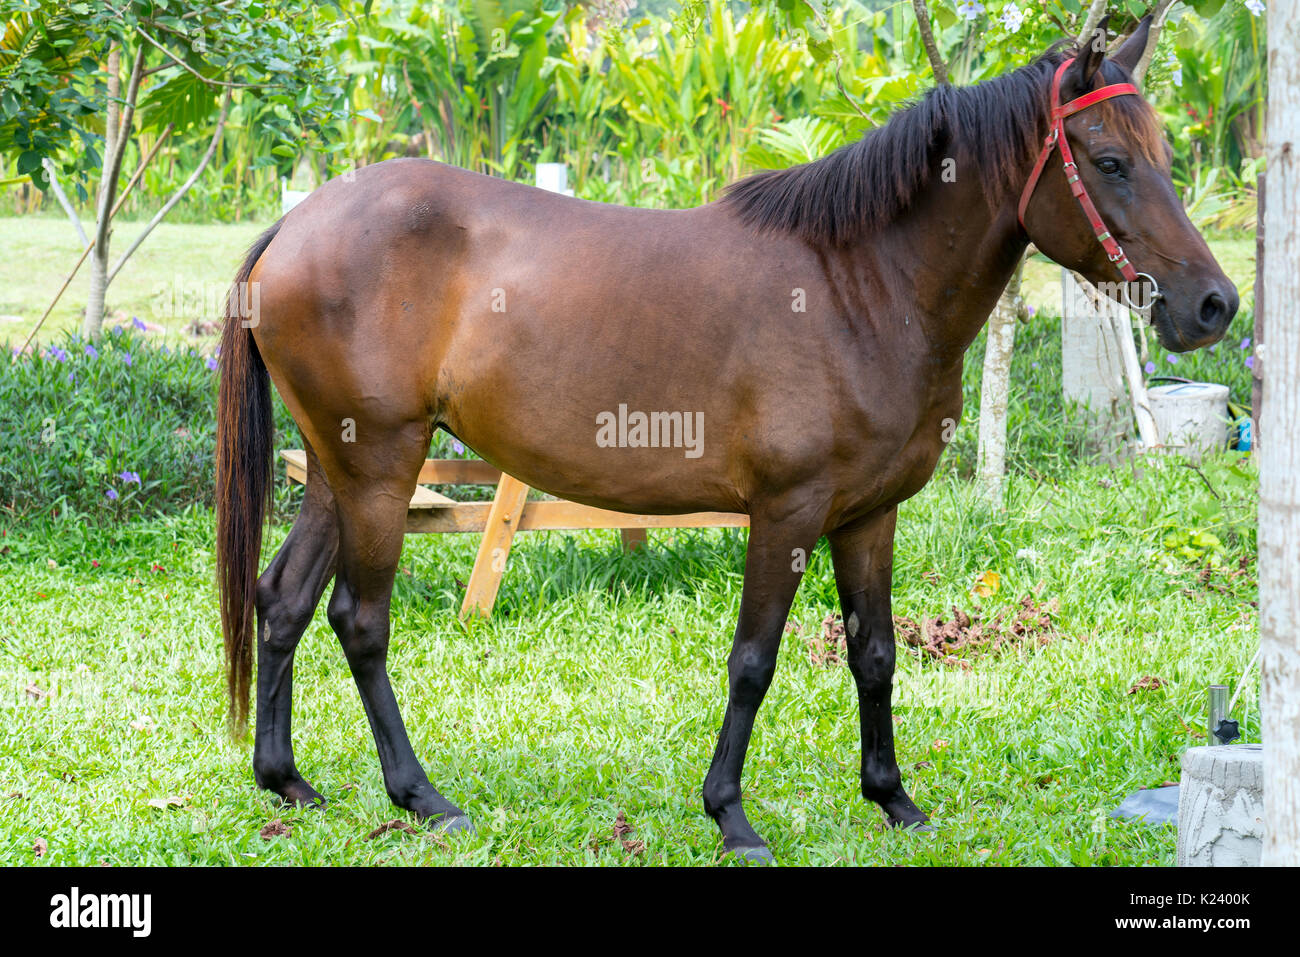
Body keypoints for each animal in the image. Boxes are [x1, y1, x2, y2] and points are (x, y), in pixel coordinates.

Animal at [215, 16, 1236, 862]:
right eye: (1108, 160)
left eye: (1164, 153)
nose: (1214, 305)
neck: (861, 286)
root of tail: (297, 223)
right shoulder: (785, 513)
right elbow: (753, 660)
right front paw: (732, 816)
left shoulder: (867, 515)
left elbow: (876, 653)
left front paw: (893, 800)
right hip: (381, 470)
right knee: (360, 620)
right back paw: (421, 796)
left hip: (342, 468)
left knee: (283, 600)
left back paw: (288, 781)